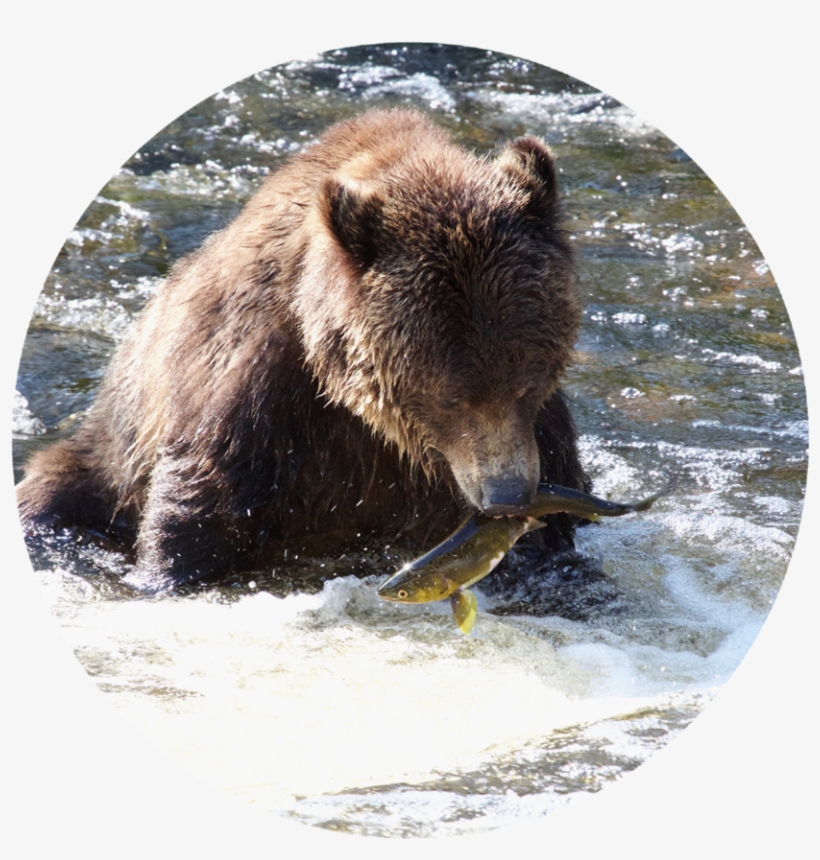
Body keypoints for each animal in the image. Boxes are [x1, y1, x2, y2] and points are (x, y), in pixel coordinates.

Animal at [17, 108, 589, 593]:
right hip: (106, 465)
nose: (507, 495)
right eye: (449, 396)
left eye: (529, 380)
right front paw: (163, 576)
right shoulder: (257, 392)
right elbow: (200, 506)